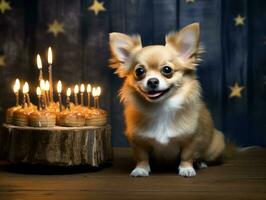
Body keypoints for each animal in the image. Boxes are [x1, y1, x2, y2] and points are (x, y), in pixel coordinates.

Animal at [109, 22, 225, 177]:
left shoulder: (191, 139)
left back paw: (200, 163)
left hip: (215, 147)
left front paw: (186, 168)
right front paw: (141, 169)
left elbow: (187, 155)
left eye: (167, 70)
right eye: (139, 71)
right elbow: (142, 157)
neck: (160, 107)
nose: (152, 81)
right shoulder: (138, 141)